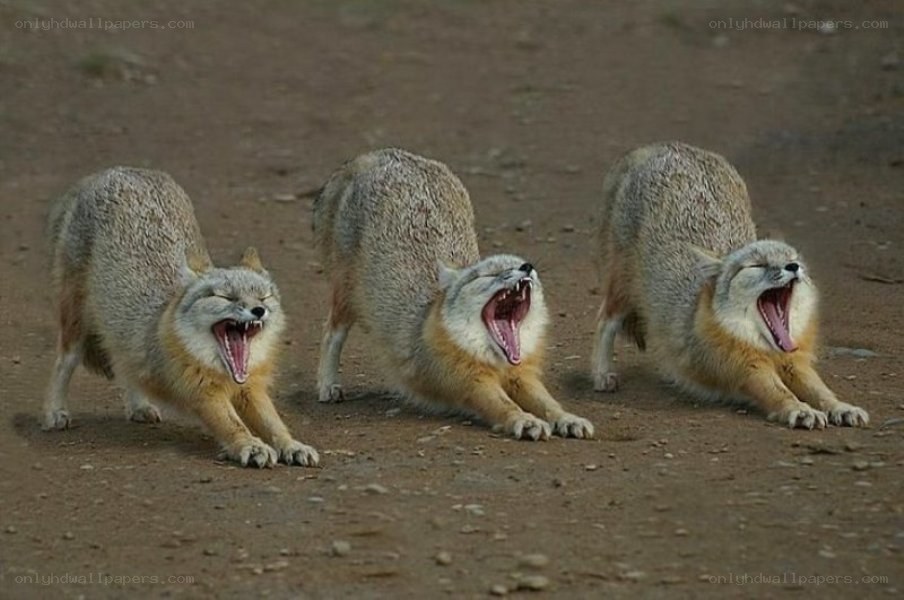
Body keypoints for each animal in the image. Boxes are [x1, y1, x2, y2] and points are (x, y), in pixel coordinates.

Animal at [44, 167, 319, 467]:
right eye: (225, 297)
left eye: (264, 297)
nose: (259, 311)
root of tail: (117, 170)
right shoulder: (203, 393)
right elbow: (232, 424)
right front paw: (251, 445)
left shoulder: (251, 388)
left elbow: (274, 423)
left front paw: (292, 445)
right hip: (75, 324)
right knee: (63, 363)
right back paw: (55, 412)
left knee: (126, 365)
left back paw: (139, 405)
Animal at [313, 148, 593, 440]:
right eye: (489, 274)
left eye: (519, 264)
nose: (527, 267)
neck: (495, 361)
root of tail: (382, 153)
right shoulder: (470, 383)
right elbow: (504, 405)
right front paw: (525, 420)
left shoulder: (522, 376)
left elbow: (549, 403)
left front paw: (567, 418)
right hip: (346, 296)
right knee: (331, 331)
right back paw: (328, 384)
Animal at [591, 142, 869, 429]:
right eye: (757, 265)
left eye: (793, 259)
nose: (793, 267)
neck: (767, 348)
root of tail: (666, 145)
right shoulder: (747, 368)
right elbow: (779, 392)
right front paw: (799, 409)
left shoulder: (796, 362)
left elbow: (821, 390)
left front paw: (840, 406)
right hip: (623, 287)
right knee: (605, 319)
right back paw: (602, 373)